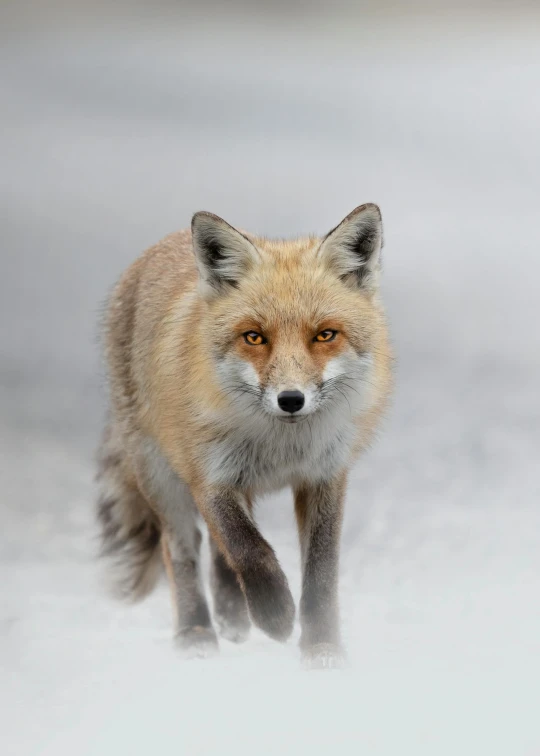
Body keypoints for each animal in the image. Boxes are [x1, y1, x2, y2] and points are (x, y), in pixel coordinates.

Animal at [96, 202, 392, 668]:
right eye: (254, 337)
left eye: (324, 335)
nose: (291, 399)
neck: (282, 447)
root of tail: (162, 245)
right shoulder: (207, 476)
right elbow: (249, 549)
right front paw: (275, 615)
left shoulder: (325, 475)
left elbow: (321, 571)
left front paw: (322, 647)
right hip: (159, 477)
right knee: (182, 547)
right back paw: (196, 630)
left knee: (221, 550)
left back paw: (232, 613)